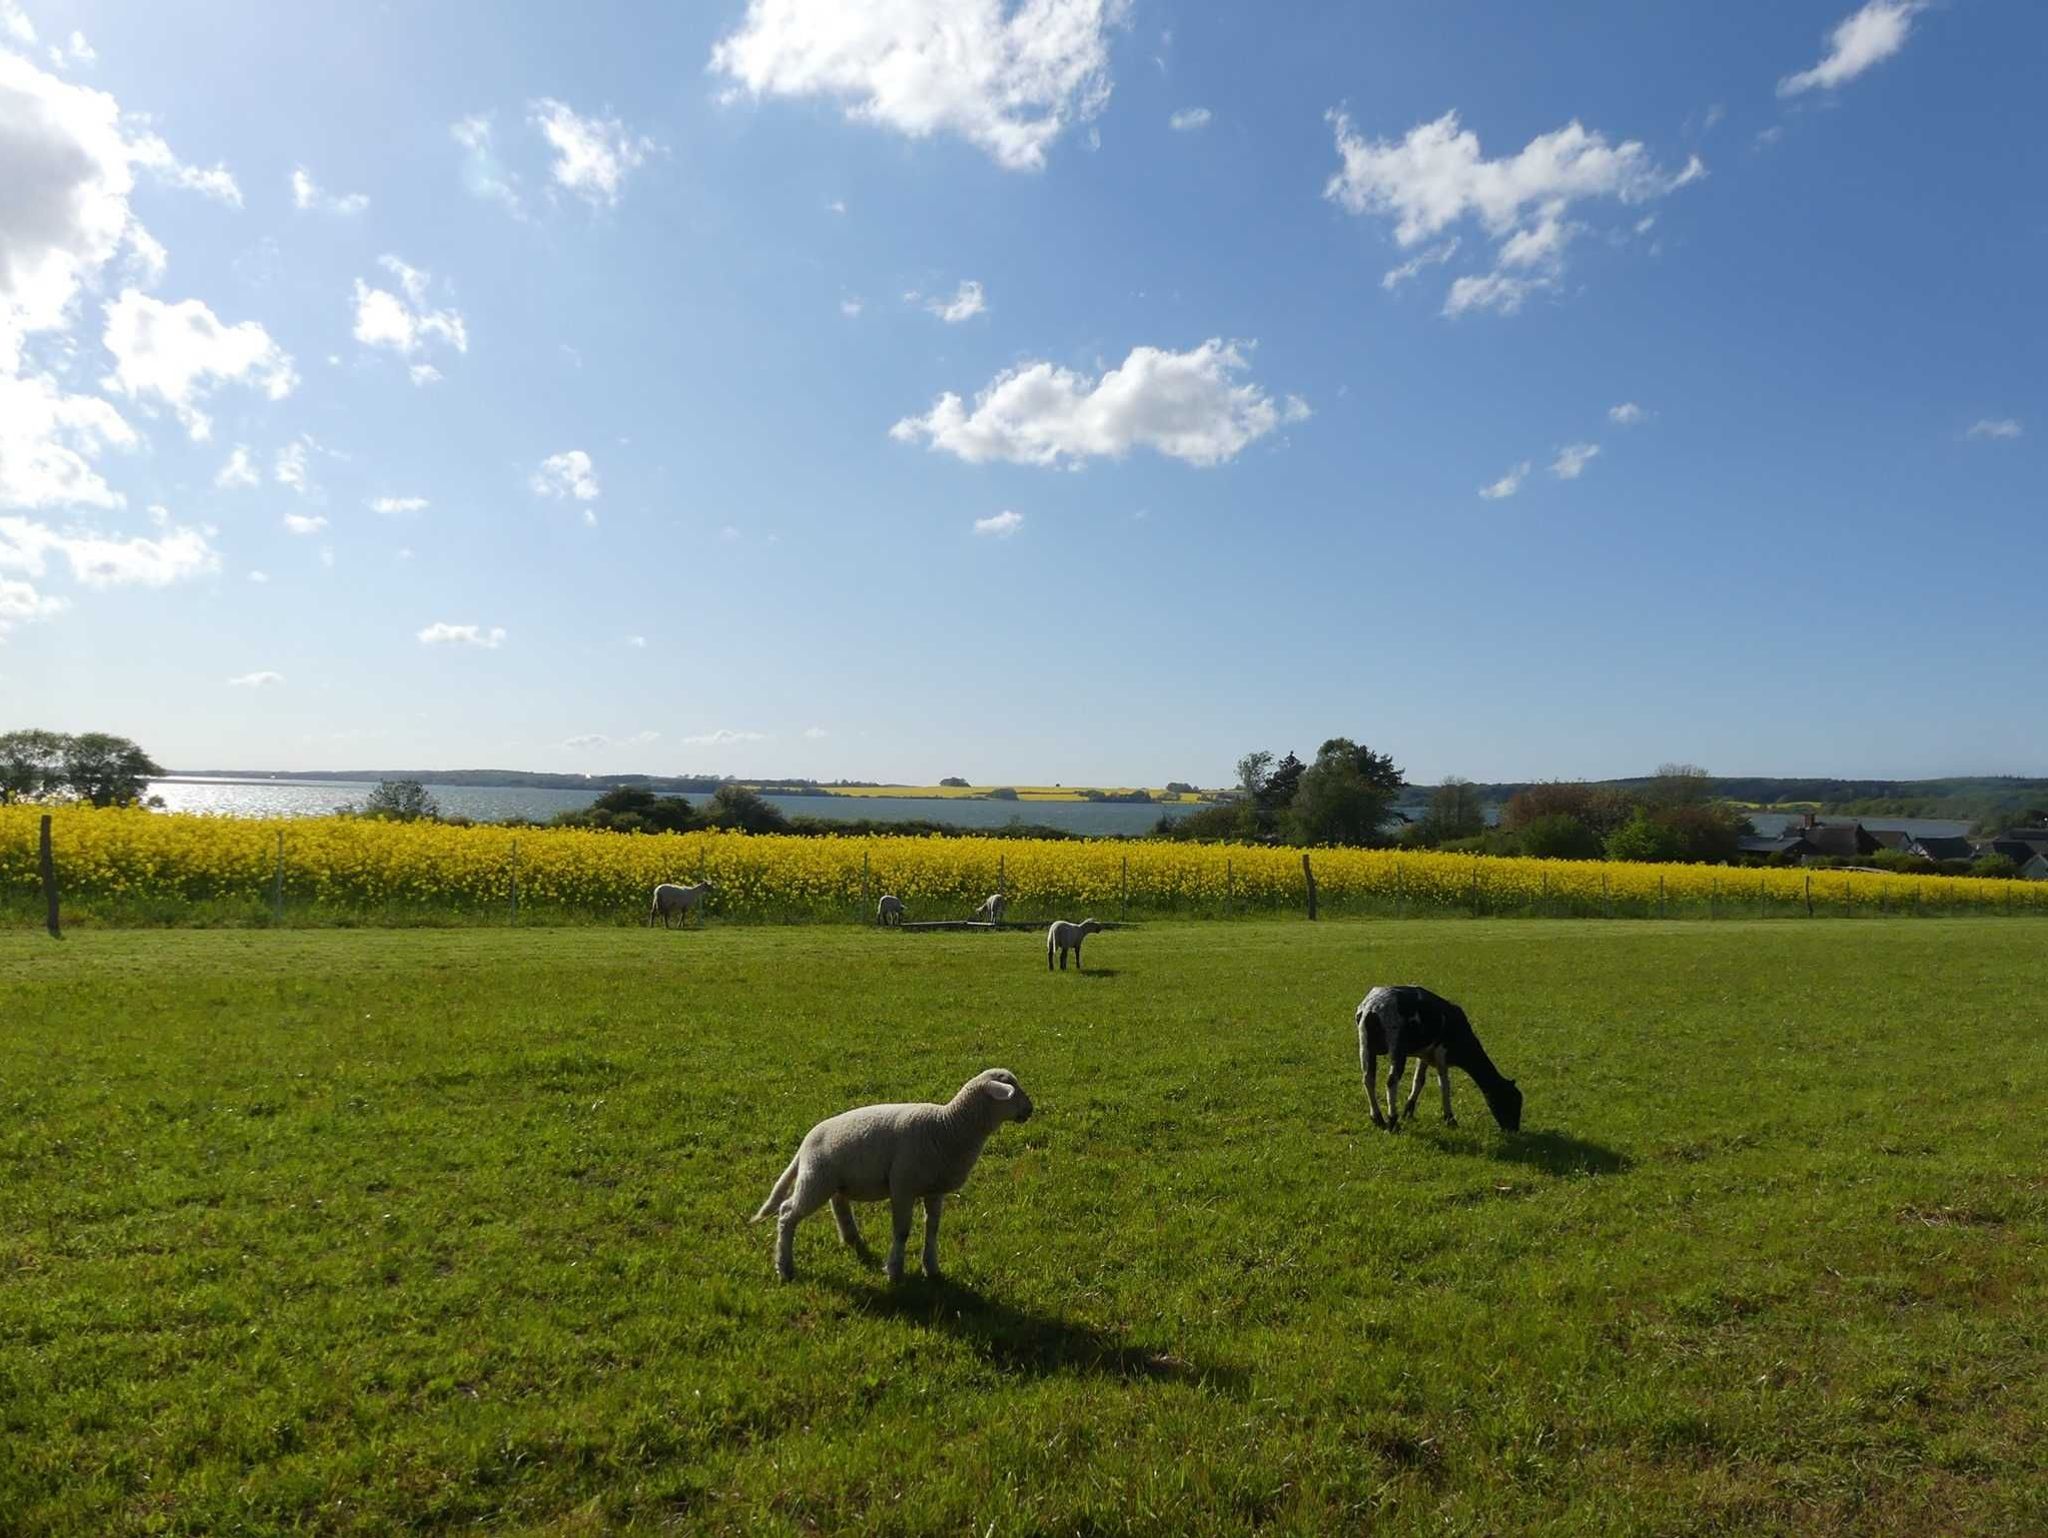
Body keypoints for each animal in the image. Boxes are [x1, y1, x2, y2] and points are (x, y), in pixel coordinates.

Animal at [749, 1064, 1032, 1277]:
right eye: (1012, 1090)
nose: (1031, 1110)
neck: (948, 1126)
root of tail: (805, 1144)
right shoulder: (903, 1186)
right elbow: (902, 1231)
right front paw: (895, 1270)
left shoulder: (934, 1189)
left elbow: (932, 1228)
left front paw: (931, 1267)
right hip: (815, 1178)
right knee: (787, 1213)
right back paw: (785, 1267)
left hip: (832, 1179)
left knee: (838, 1203)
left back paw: (852, 1238)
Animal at [1359, 987, 1523, 1130]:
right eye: (1511, 1101)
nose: (1513, 1129)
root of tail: (1372, 1008)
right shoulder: (1441, 1052)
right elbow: (1444, 1084)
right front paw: (1450, 1119)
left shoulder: (1424, 1054)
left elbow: (1419, 1081)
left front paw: (1408, 1112)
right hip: (1396, 1046)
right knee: (1391, 1082)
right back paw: (1392, 1122)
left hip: (1366, 1046)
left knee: (1368, 1079)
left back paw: (1378, 1118)